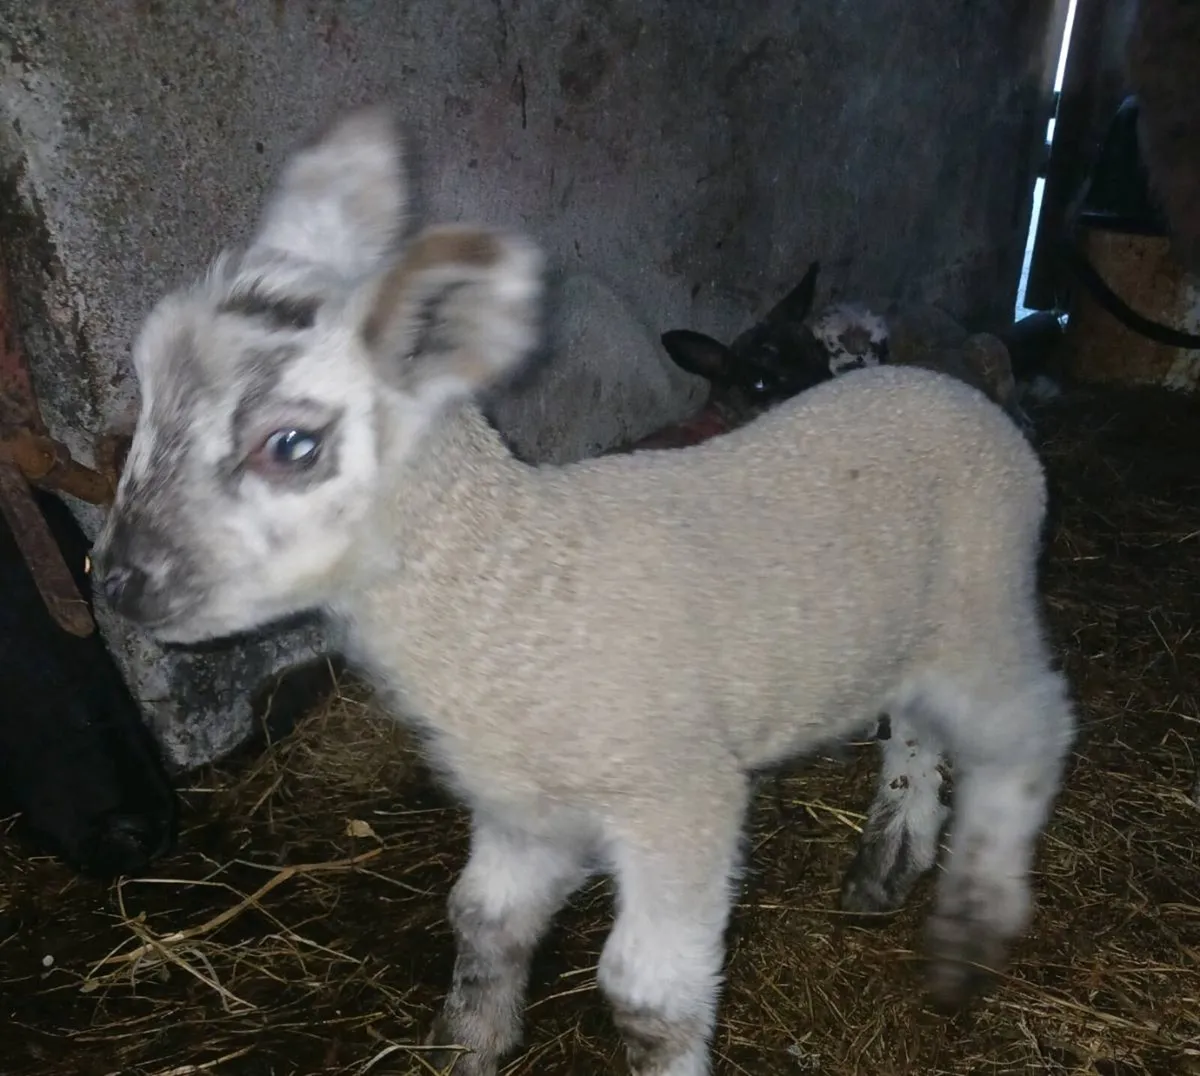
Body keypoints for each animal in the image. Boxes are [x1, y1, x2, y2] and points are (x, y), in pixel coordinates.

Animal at [90, 107, 1077, 1076]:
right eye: (144, 409)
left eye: (291, 444)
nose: (117, 584)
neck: (511, 582)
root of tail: (950, 391)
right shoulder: (523, 807)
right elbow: (483, 921)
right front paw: (469, 1045)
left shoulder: (678, 798)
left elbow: (647, 1000)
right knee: (917, 722)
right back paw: (892, 852)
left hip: (988, 602)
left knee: (1032, 731)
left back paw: (974, 916)